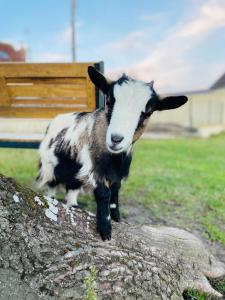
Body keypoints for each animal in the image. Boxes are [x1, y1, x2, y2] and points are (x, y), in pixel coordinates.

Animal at [38, 67, 188, 240]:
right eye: (109, 101)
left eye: (148, 112)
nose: (116, 139)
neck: (113, 158)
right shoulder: (93, 167)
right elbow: (104, 193)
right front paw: (105, 228)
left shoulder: (118, 172)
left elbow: (115, 192)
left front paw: (116, 217)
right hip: (50, 165)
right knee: (51, 185)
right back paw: (52, 201)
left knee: (72, 186)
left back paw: (74, 206)